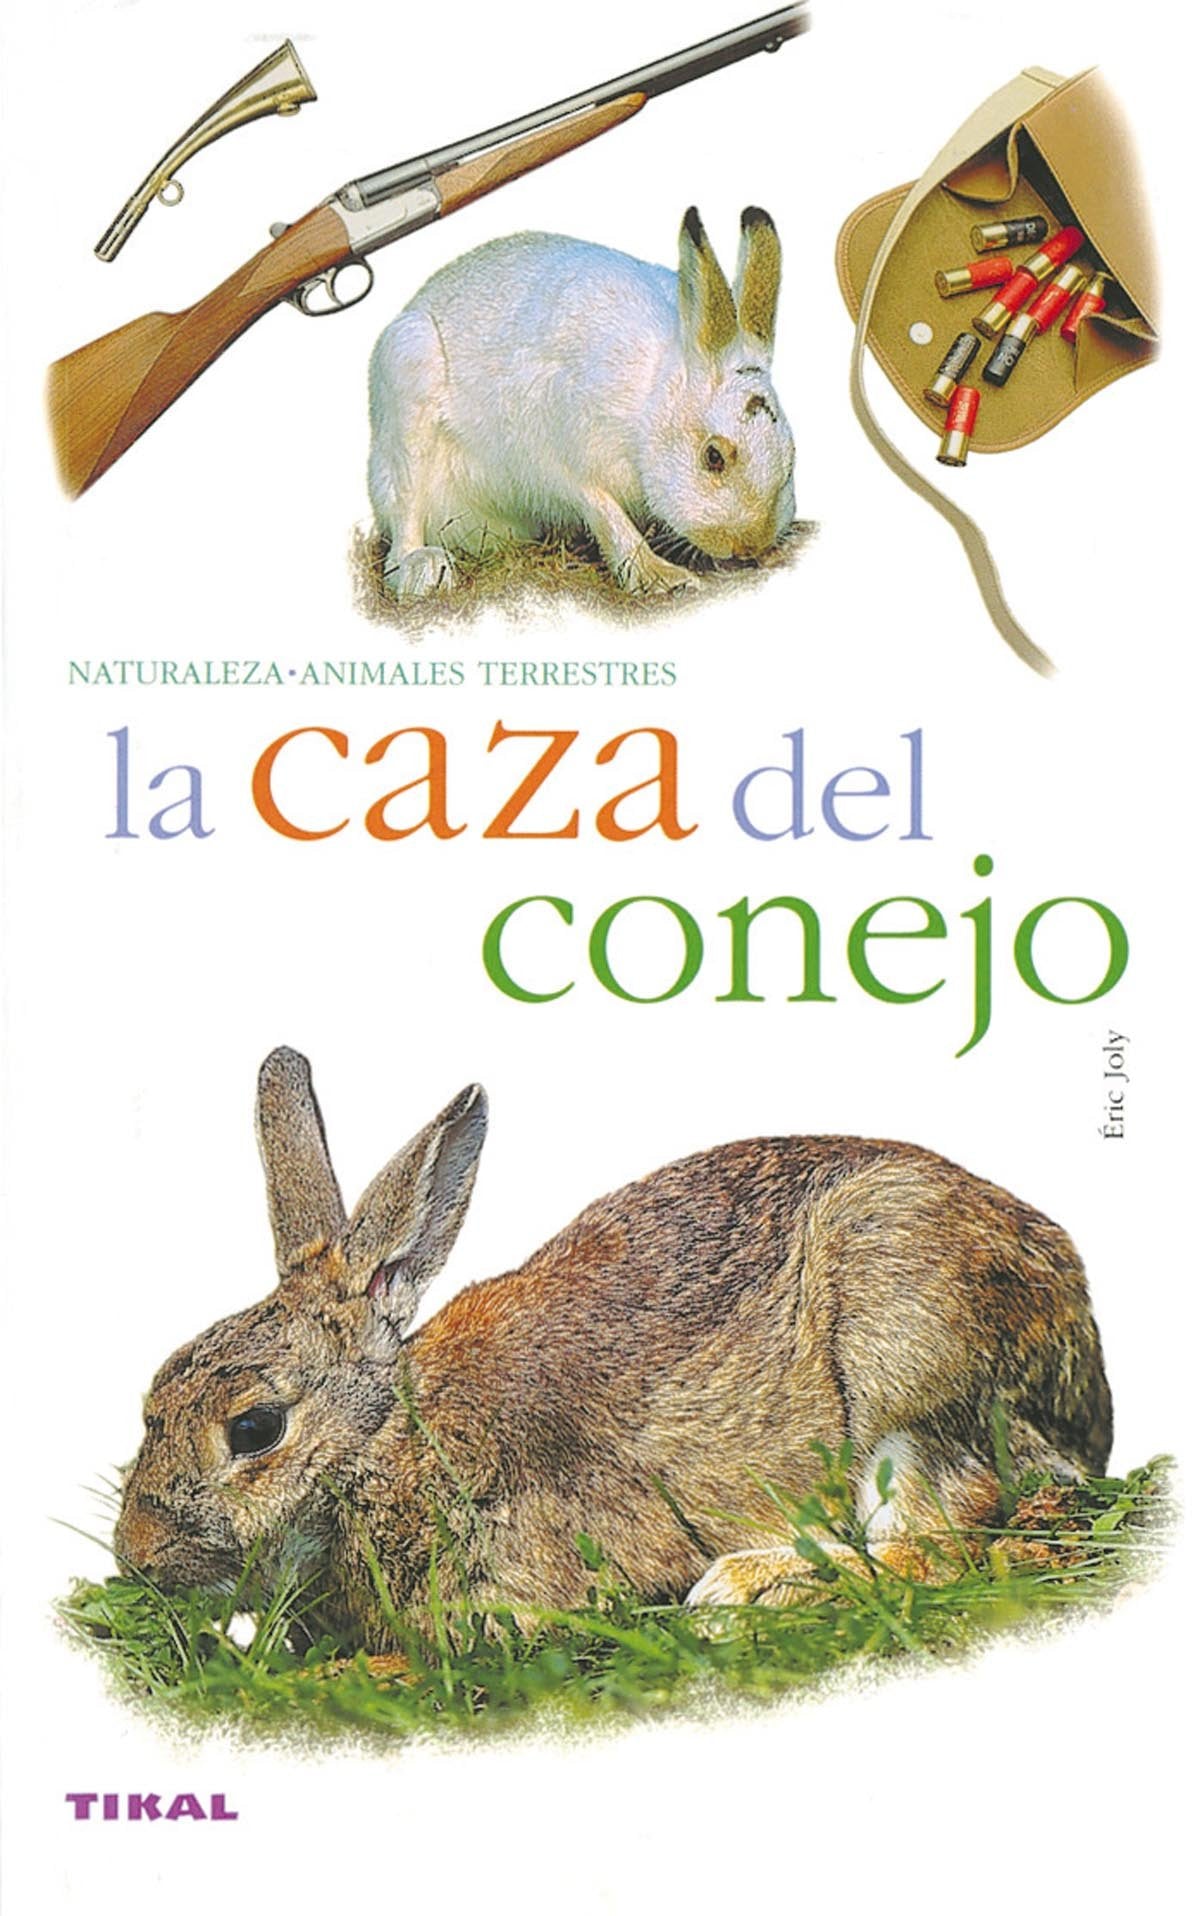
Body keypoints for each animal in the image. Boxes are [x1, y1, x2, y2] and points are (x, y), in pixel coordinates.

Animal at [115, 1050, 1112, 1648]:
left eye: (254, 1430)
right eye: (153, 1392)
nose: (138, 1557)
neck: (392, 1442)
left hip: (903, 1347)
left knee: (940, 1539)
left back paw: (743, 1591)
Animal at [366, 206, 797, 600]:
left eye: (791, 456)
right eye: (713, 457)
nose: (751, 544)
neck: (653, 400)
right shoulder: (560, 452)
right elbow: (606, 514)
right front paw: (663, 578)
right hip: (408, 376)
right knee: (404, 512)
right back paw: (422, 569)